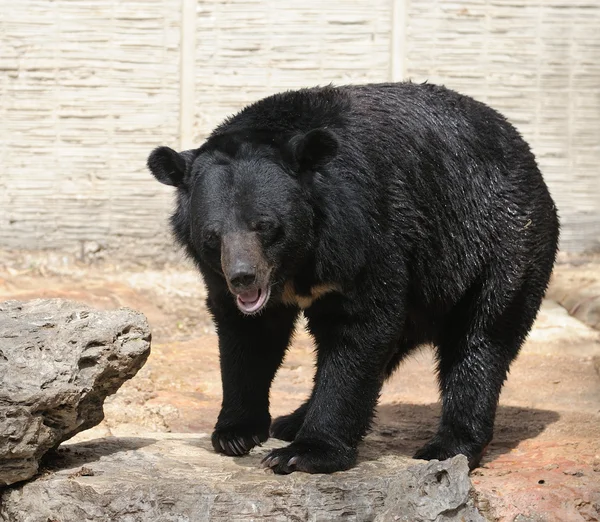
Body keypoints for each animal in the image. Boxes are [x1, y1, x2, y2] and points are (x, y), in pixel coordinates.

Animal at [148, 81, 560, 472]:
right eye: (212, 236)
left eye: (266, 226)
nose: (243, 278)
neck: (297, 263)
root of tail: (528, 157)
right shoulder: (223, 277)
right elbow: (248, 335)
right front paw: (235, 433)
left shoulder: (366, 232)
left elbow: (361, 327)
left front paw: (303, 454)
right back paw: (292, 419)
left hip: (499, 244)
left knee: (482, 337)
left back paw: (447, 446)